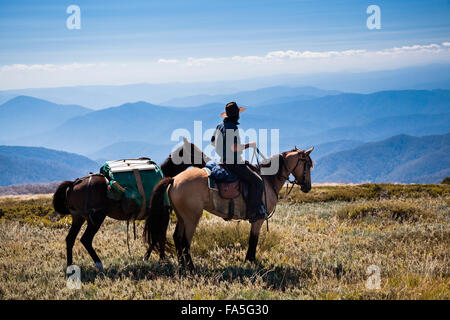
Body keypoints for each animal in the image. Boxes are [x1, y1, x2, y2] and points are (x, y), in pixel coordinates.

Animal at [51, 139, 210, 272]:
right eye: (195, 152)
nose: (207, 161)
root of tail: (73, 184)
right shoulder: (162, 214)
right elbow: (159, 236)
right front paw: (161, 259)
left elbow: (155, 237)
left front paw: (149, 258)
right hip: (96, 218)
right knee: (86, 239)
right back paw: (99, 264)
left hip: (78, 218)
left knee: (70, 239)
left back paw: (70, 267)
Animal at [144, 147, 312, 270]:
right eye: (308, 165)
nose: (307, 187)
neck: (268, 180)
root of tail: (174, 179)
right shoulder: (258, 220)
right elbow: (253, 240)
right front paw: (251, 261)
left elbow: (252, 240)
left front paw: (249, 260)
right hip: (192, 218)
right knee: (185, 241)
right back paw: (191, 267)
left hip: (182, 217)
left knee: (177, 237)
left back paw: (182, 265)